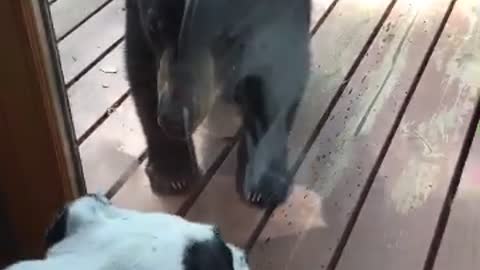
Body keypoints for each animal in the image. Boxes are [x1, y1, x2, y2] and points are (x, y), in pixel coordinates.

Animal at [124, 0, 312, 208]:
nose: (173, 119)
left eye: (224, 34)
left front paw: (262, 183)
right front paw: (172, 173)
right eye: (154, 27)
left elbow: (280, 68)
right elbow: (142, 63)